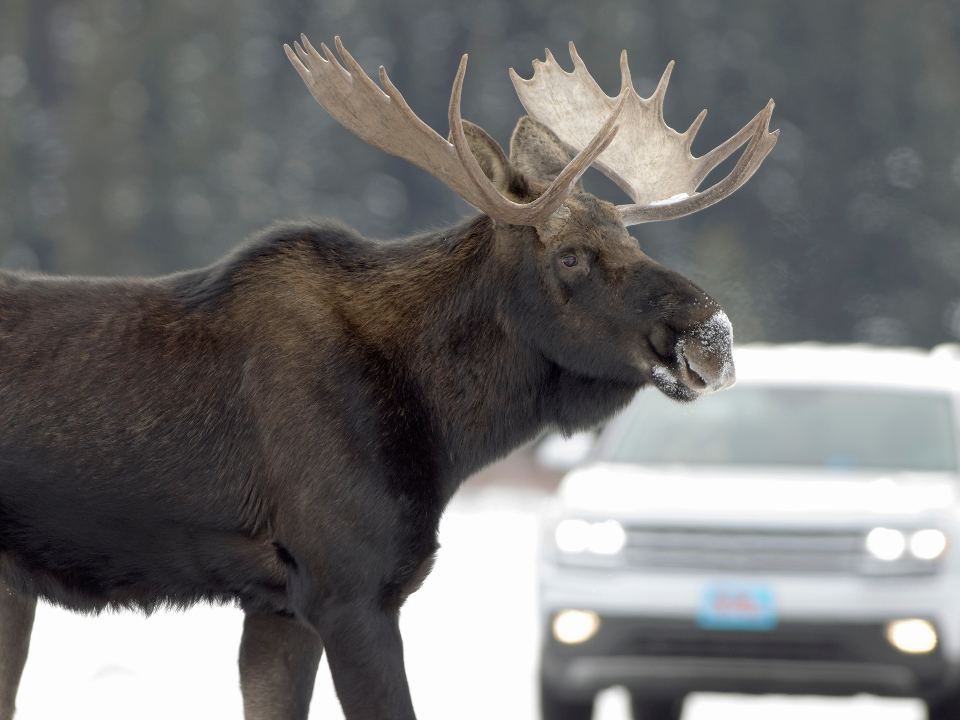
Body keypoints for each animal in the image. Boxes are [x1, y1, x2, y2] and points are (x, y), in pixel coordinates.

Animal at [0, 32, 776, 720]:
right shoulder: (349, 588)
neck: (444, 432)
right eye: (571, 256)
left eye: (632, 240)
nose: (713, 336)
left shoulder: (278, 604)